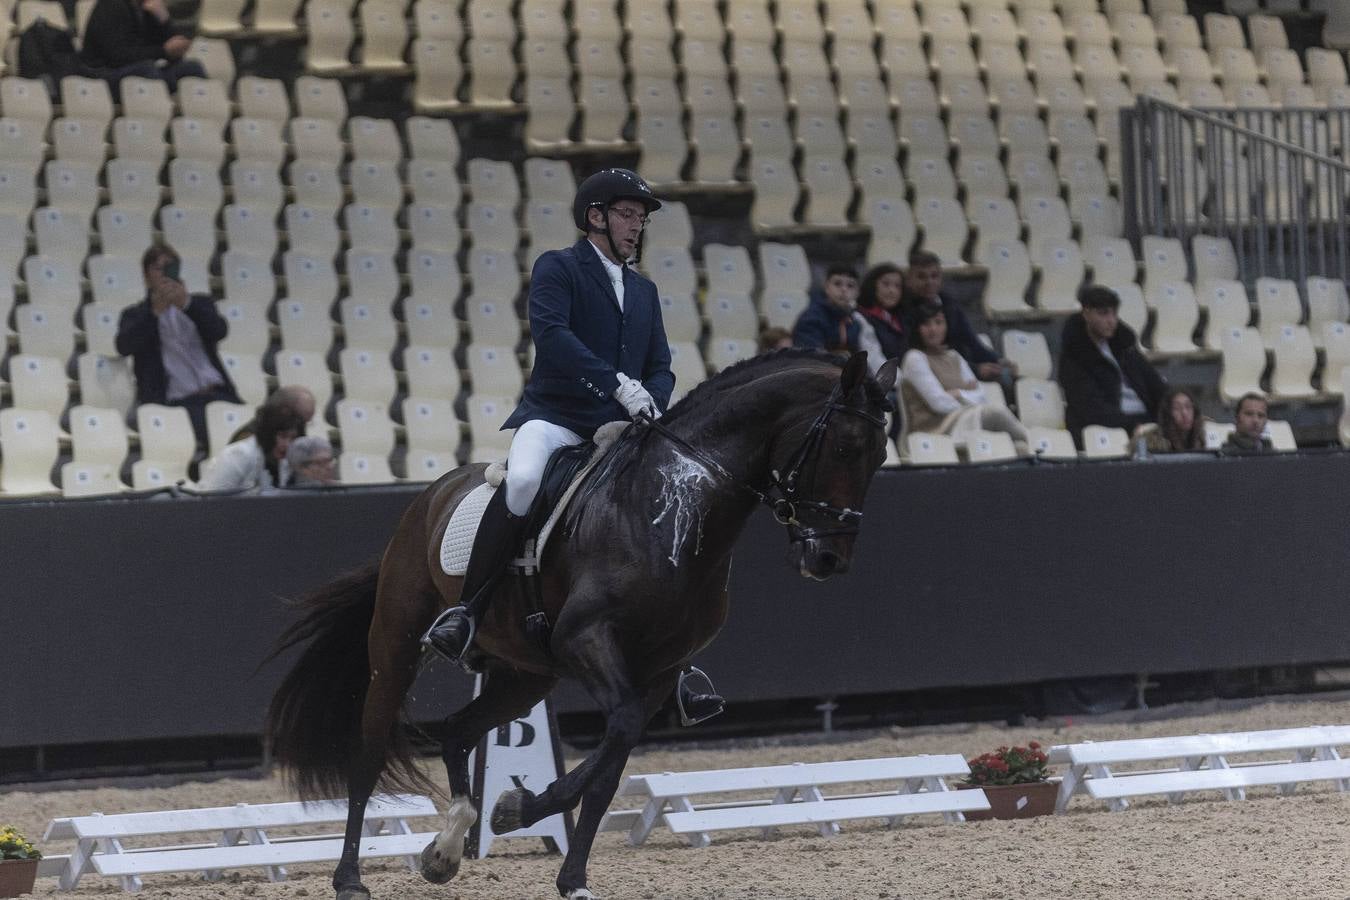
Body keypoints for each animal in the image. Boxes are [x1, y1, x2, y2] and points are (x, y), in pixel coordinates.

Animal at [264, 349, 899, 900]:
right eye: (845, 446)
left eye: (880, 457)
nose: (828, 560)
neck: (672, 508)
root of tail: (429, 497)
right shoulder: (585, 640)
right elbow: (615, 737)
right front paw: (518, 811)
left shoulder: (659, 671)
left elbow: (613, 761)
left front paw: (556, 859)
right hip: (396, 645)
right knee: (369, 752)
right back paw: (351, 878)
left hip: (525, 676)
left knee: (458, 732)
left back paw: (446, 848)